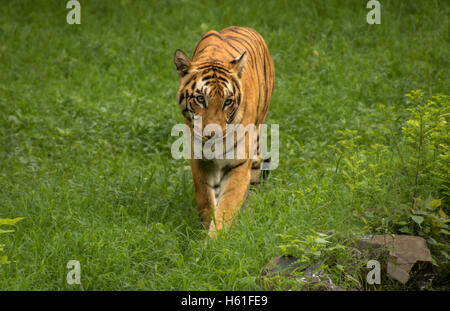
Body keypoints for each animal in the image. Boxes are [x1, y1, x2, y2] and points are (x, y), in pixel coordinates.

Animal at [174, 26, 274, 239]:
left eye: (227, 101)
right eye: (200, 99)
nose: (214, 135)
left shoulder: (239, 162)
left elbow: (227, 205)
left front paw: (215, 240)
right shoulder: (199, 160)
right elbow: (205, 200)